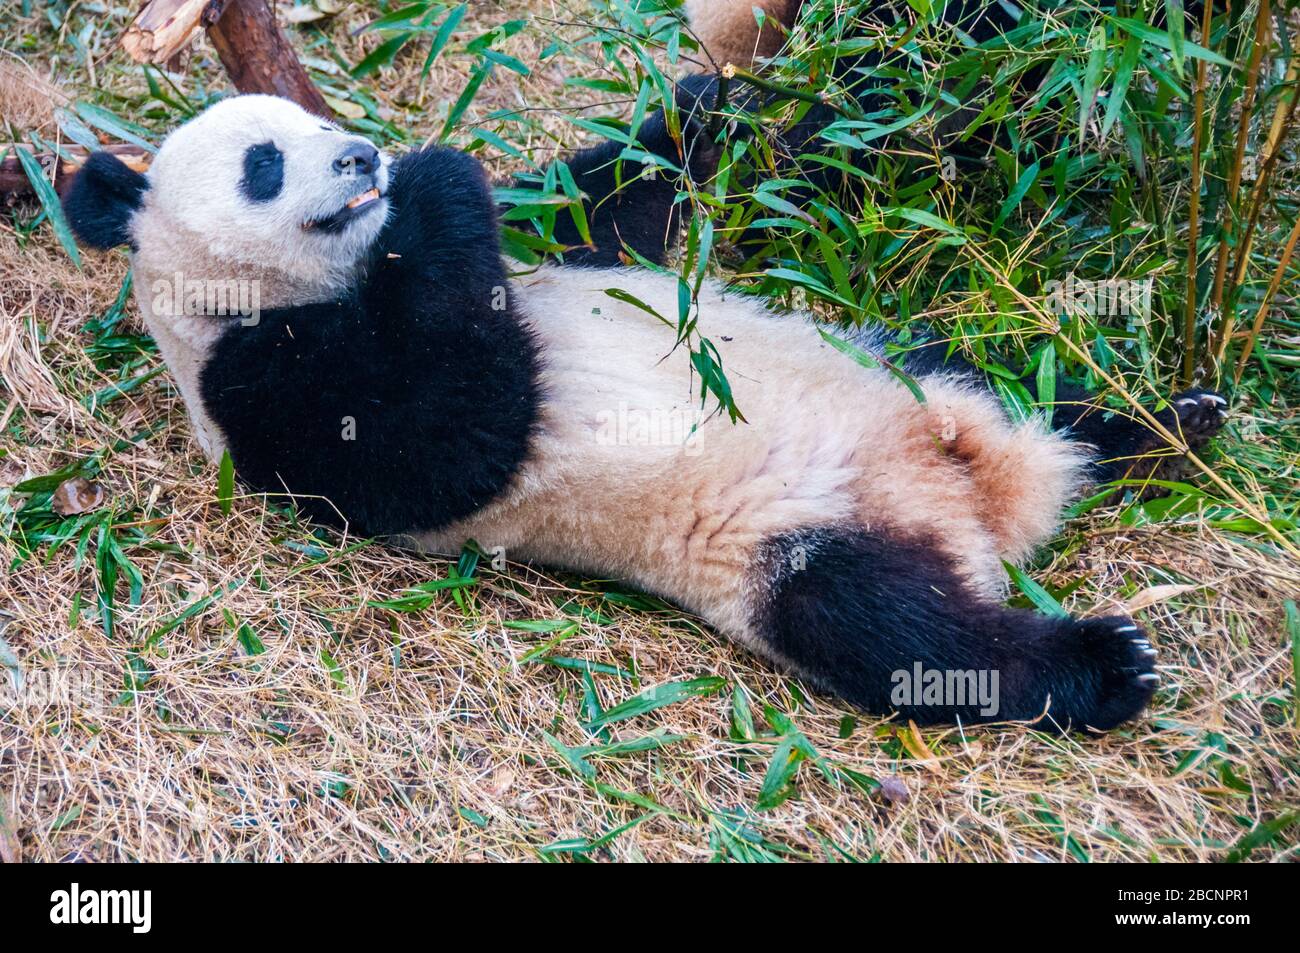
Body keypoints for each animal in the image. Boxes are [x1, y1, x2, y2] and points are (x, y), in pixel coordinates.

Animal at [61, 92, 1222, 728]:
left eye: (316, 122)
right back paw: (1102, 662)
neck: (305, 287)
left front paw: (722, 100)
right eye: (264, 164)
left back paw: (1166, 428)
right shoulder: (258, 387)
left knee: (1029, 394)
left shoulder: (556, 244)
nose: (360, 157)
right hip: (791, 538)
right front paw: (435, 182)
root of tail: (979, 500)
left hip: (904, 365)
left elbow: (631, 200)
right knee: (899, 629)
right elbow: (443, 436)